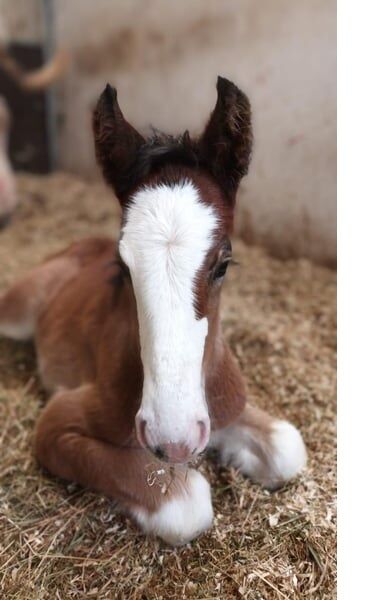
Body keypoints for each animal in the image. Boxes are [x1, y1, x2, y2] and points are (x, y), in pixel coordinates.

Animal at [0, 77, 306, 548]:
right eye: (123, 265)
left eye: (223, 263)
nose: (174, 438)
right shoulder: (57, 423)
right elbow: (185, 503)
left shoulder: (225, 402)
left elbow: (287, 449)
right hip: (16, 311)